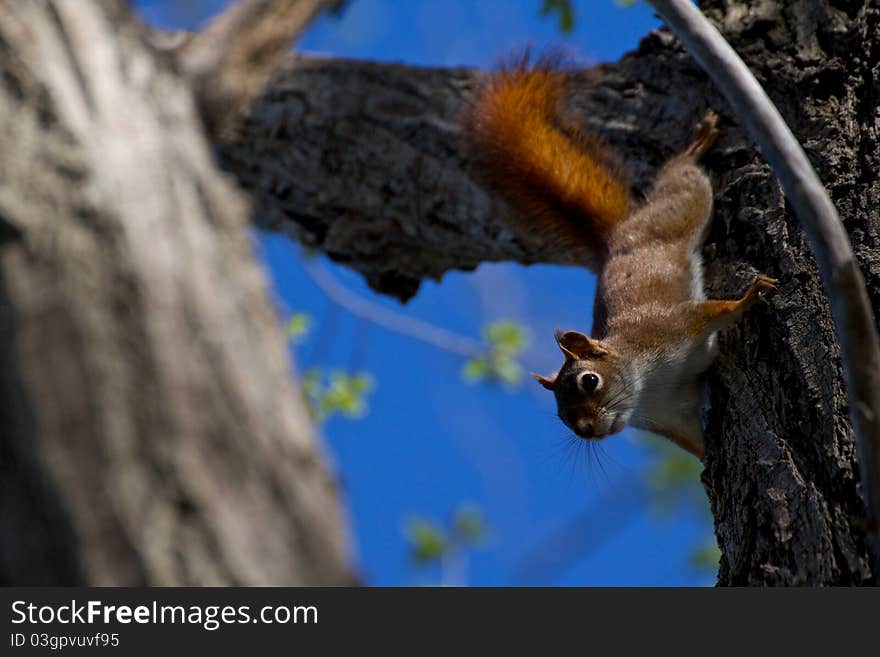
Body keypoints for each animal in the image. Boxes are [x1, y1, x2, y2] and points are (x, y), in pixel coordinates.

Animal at [464, 59, 772, 458]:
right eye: (561, 416)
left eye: (589, 381)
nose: (585, 430)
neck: (647, 387)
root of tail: (619, 234)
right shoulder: (675, 417)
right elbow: (696, 444)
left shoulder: (671, 325)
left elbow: (716, 311)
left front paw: (749, 296)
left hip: (681, 208)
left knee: (683, 178)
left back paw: (695, 145)